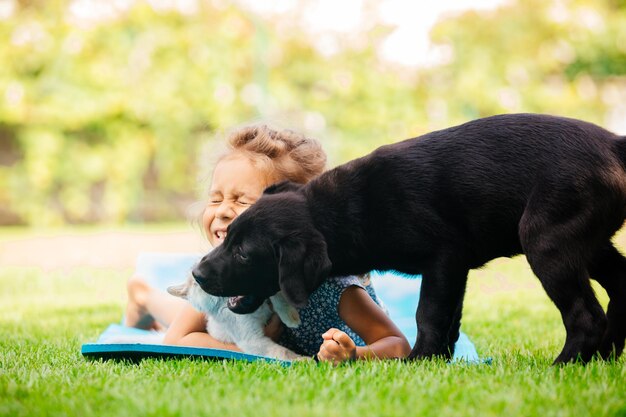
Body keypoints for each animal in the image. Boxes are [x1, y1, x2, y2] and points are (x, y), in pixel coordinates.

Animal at [189, 114, 624, 364]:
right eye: (227, 237)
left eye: (244, 253)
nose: (196, 273)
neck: (338, 213)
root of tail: (614, 143)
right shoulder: (455, 268)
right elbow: (450, 318)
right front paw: (438, 361)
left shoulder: (444, 258)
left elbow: (428, 314)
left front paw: (417, 361)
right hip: (589, 243)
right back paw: (605, 358)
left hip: (546, 241)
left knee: (586, 315)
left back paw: (565, 365)